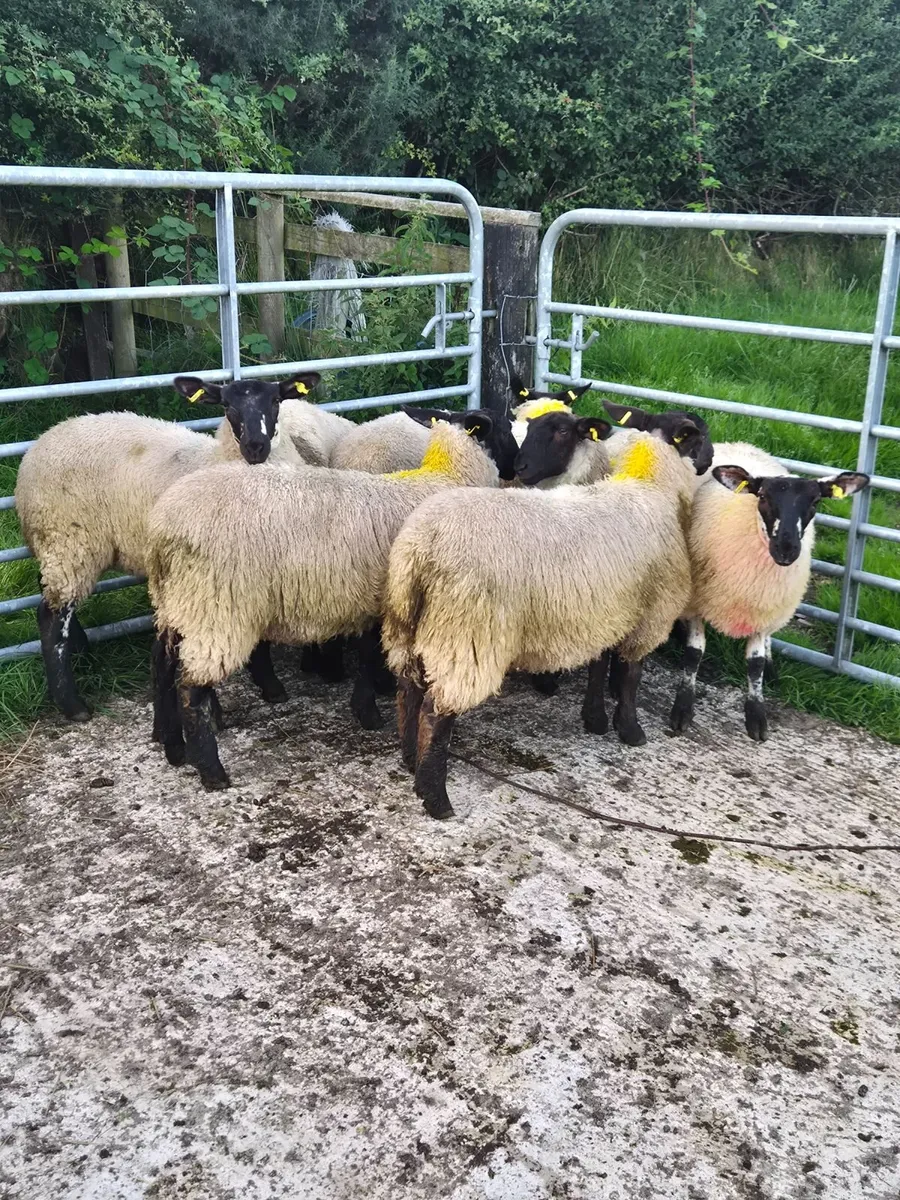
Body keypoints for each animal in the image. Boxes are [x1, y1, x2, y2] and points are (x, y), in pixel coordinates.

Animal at [14, 371, 320, 721]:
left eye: (276, 400)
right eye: (226, 405)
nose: (255, 447)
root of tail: (39, 445)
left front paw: (270, 687)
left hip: (55, 544)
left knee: (47, 590)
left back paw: (81, 648)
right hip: (70, 540)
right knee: (51, 616)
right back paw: (72, 704)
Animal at [146, 410, 507, 791]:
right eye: (501, 430)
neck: (440, 480)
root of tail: (162, 528)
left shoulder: (374, 600)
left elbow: (369, 654)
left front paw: (366, 704)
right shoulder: (384, 602)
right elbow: (370, 657)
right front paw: (369, 711)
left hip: (178, 601)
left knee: (161, 663)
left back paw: (172, 746)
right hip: (216, 607)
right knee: (191, 688)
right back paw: (211, 772)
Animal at [382, 404, 712, 818]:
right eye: (698, 435)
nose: (711, 462)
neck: (651, 486)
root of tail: (423, 546)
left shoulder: (606, 607)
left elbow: (599, 664)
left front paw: (595, 719)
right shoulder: (650, 612)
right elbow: (631, 676)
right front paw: (631, 730)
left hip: (405, 621)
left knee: (407, 691)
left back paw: (410, 759)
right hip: (467, 634)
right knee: (435, 712)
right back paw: (435, 797)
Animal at [669, 442, 869, 741]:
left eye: (815, 502)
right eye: (762, 496)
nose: (786, 549)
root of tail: (742, 445)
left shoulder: (762, 608)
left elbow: (756, 664)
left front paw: (756, 715)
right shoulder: (696, 603)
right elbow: (694, 654)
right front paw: (682, 707)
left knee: (770, 641)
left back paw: (773, 671)